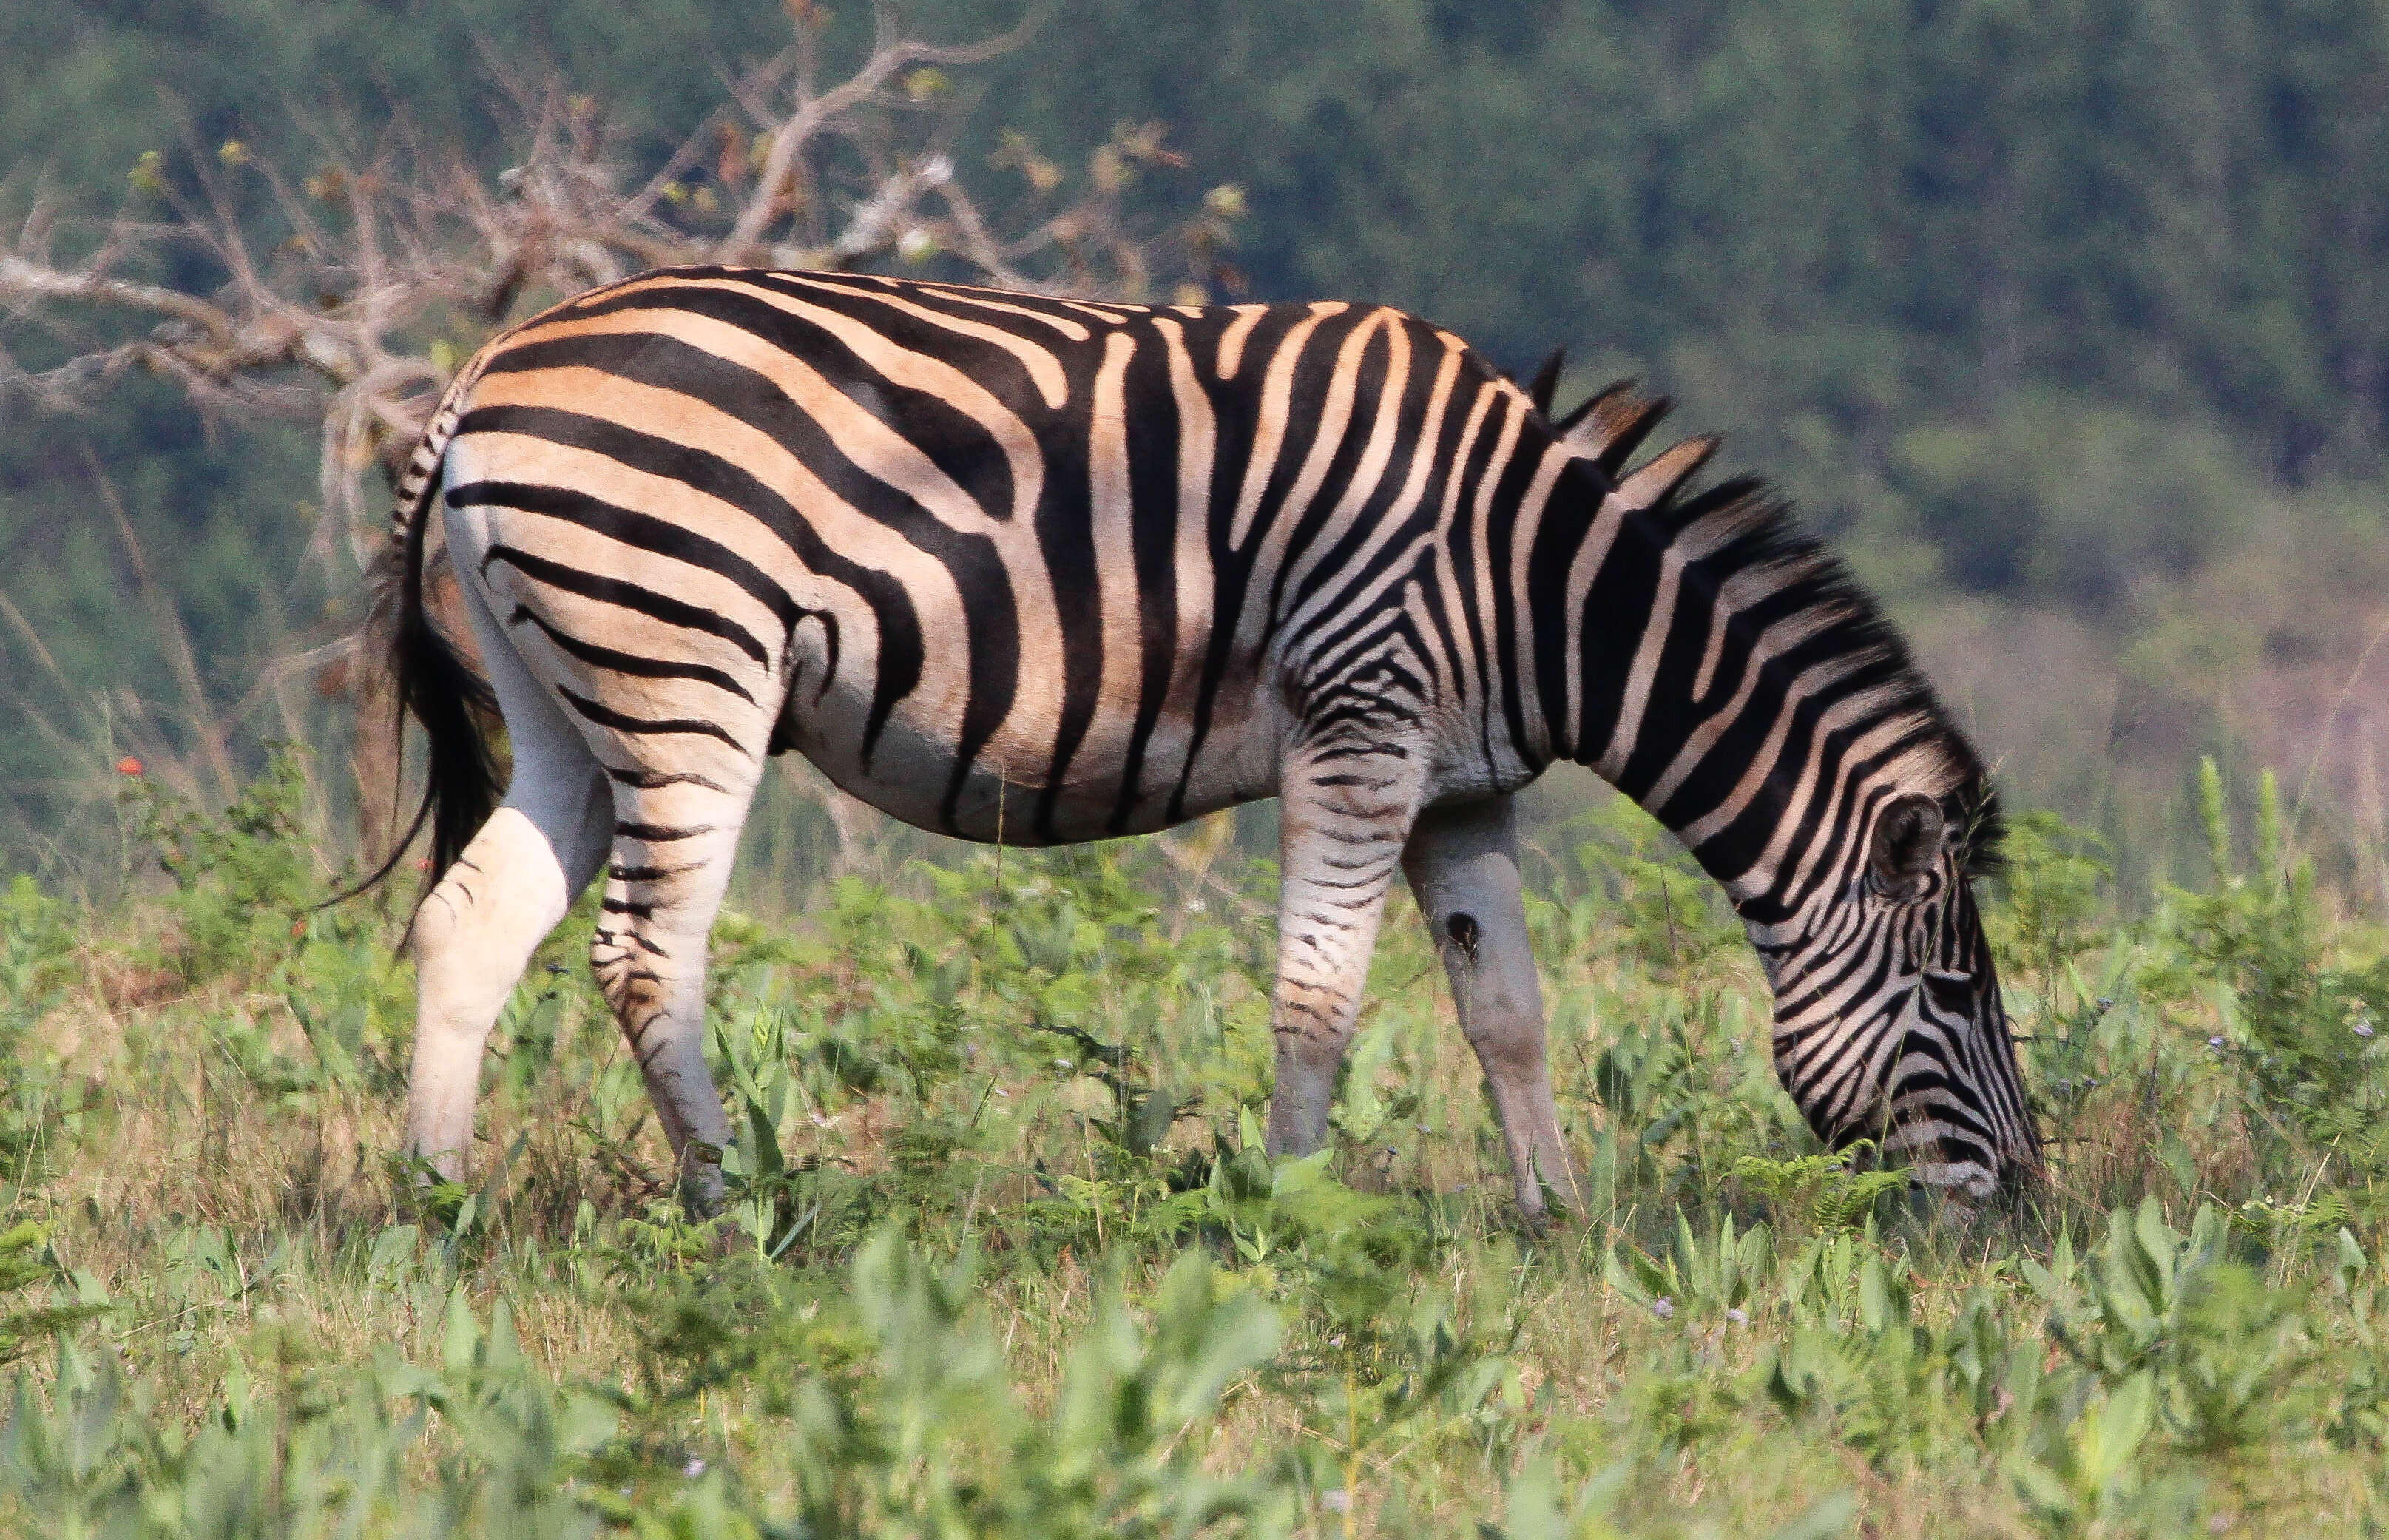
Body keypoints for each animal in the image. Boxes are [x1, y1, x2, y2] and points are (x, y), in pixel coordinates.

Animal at [372, 267, 2035, 1222]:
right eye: (1958, 995)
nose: (2022, 1212)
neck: (1534, 582)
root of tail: (491, 365)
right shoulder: (1361, 730)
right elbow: (1320, 1003)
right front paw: (1289, 1218)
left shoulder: (1463, 786)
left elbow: (1508, 1009)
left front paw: (1558, 1223)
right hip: (688, 662)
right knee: (645, 955)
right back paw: (740, 1214)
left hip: (571, 694)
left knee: (472, 921)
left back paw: (441, 1204)